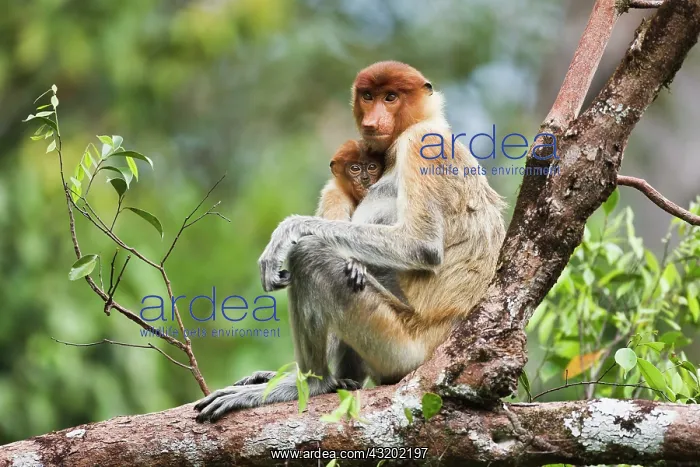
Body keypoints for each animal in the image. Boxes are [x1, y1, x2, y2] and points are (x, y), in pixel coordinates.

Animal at [195, 61, 506, 422]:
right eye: (368, 96)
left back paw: (311, 384)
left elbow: (421, 244)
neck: (423, 123)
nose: (372, 121)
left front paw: (287, 233)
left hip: (398, 346)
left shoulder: (421, 145)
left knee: (311, 256)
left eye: (391, 97)